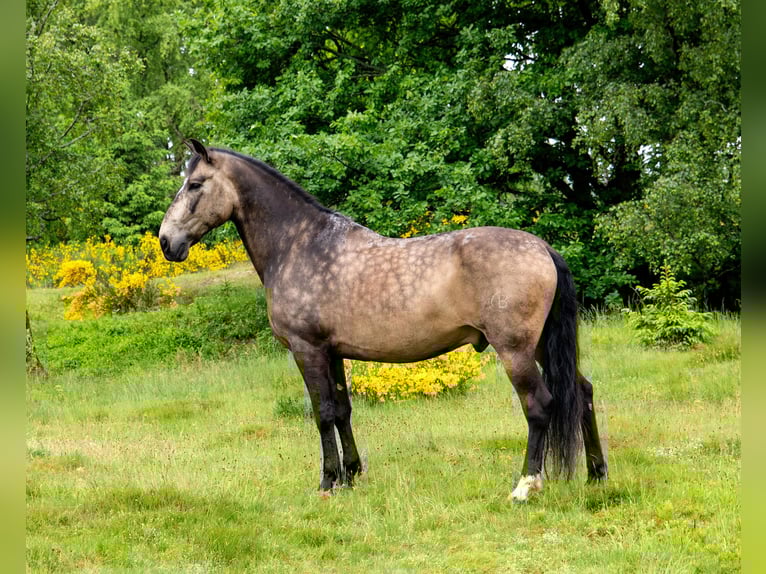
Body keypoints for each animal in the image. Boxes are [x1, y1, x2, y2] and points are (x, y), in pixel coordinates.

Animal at [159, 139, 608, 501]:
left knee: (539, 405)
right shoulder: (333, 352)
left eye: (194, 185)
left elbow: (322, 413)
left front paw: (328, 482)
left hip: (515, 350)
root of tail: (543, 248)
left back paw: (526, 486)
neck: (300, 245)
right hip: (543, 346)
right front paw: (352, 475)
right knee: (582, 392)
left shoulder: (307, 350)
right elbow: (342, 410)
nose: (166, 241)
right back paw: (596, 474)